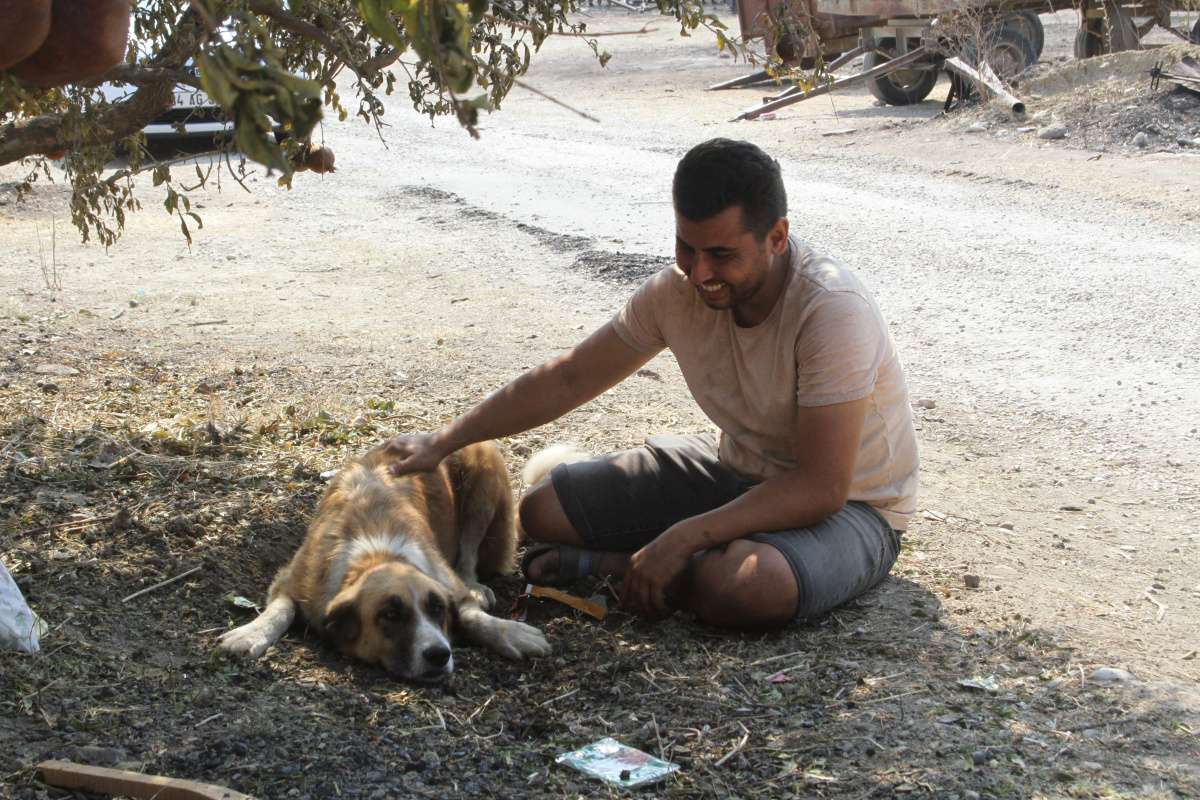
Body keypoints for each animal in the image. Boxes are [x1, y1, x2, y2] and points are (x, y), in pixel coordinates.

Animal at [218, 441, 549, 681]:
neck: (377, 554)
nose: (439, 654)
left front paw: (511, 632)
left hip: (483, 483)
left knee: (469, 554)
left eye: (437, 609)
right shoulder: (294, 579)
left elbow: (472, 615)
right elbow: (279, 610)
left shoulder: (445, 581)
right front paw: (251, 633)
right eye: (390, 615)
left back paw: (474, 583)